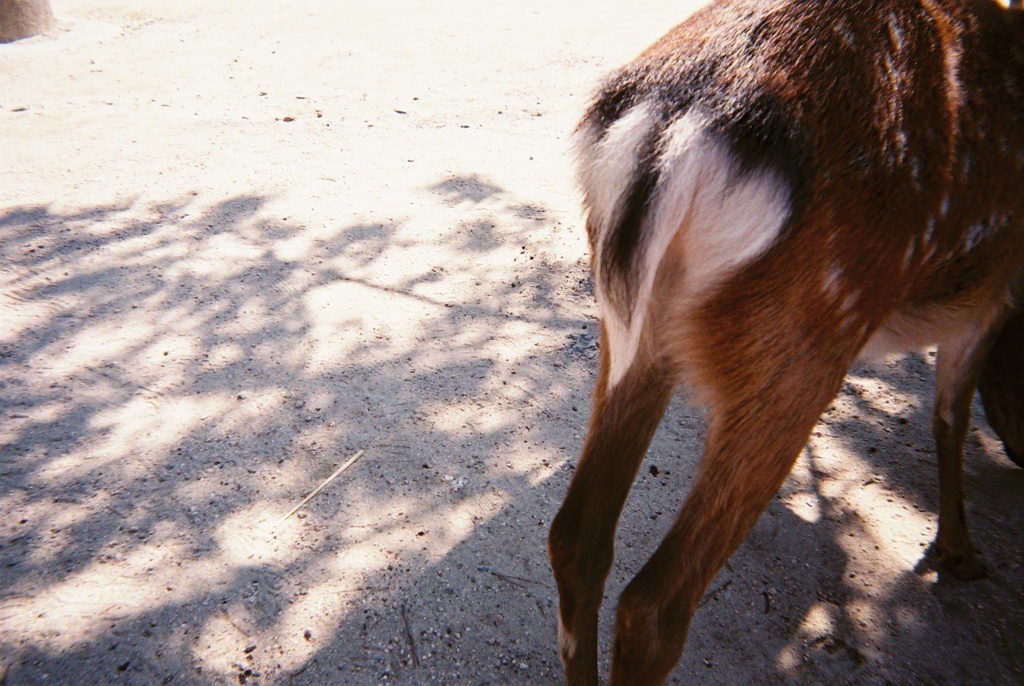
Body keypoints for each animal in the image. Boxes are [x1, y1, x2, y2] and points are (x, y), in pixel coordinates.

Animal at [548, 0, 1024, 683]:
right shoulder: (994, 294)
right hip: (811, 333)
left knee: (576, 540)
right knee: (655, 604)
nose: (1020, 448)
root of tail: (673, 132)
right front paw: (958, 553)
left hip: (633, 330)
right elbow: (951, 414)